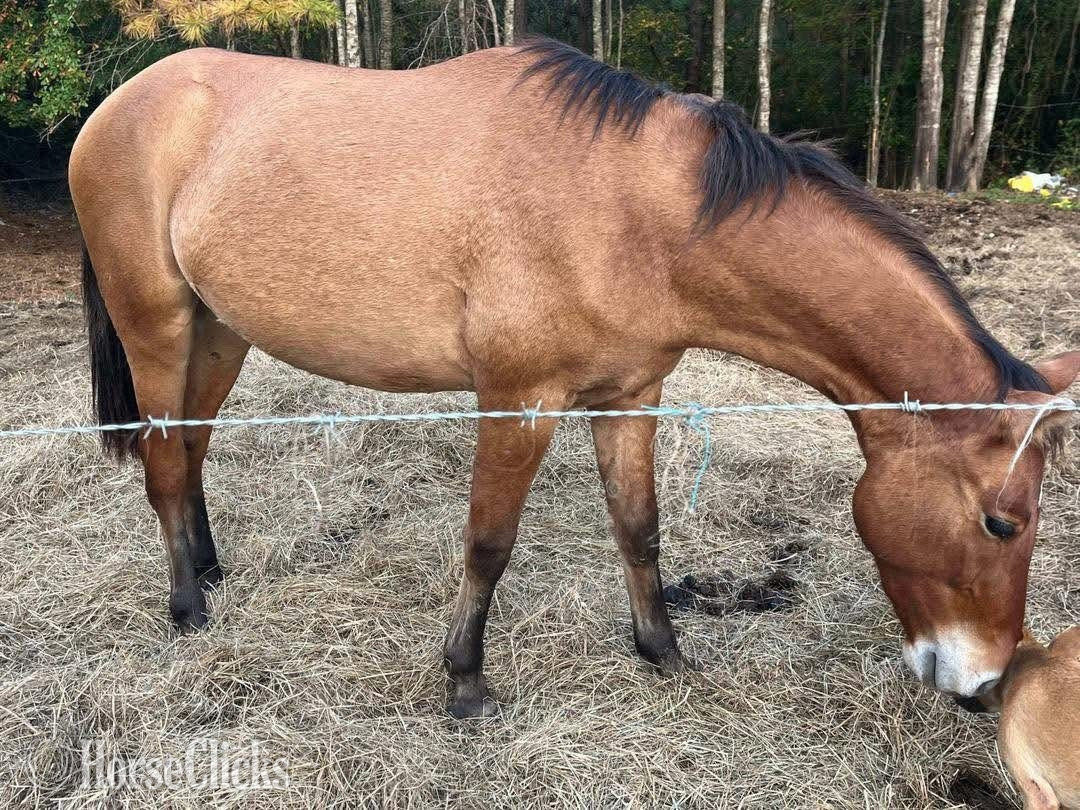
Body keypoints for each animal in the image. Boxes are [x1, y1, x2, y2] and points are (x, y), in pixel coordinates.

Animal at [69, 38, 1079, 719]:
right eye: (1002, 522)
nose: (988, 684)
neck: (632, 210)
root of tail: (122, 101)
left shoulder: (629, 398)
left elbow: (639, 529)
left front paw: (664, 652)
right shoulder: (518, 400)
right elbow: (488, 542)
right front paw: (466, 682)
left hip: (219, 334)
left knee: (192, 449)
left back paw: (209, 568)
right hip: (159, 327)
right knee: (164, 462)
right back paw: (187, 608)